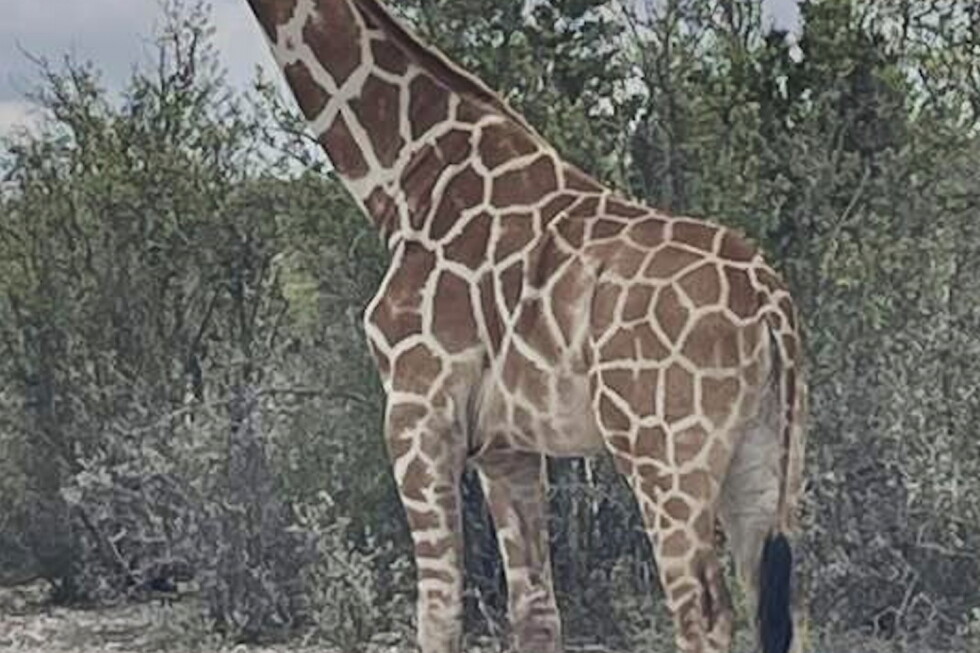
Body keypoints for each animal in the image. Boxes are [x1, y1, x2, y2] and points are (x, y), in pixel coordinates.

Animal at [243, 1, 806, 652]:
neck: (407, 179)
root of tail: (770, 303)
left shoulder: (416, 412)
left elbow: (437, 614)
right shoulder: (506, 445)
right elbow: (536, 611)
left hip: (666, 455)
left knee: (703, 614)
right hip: (766, 456)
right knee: (781, 608)